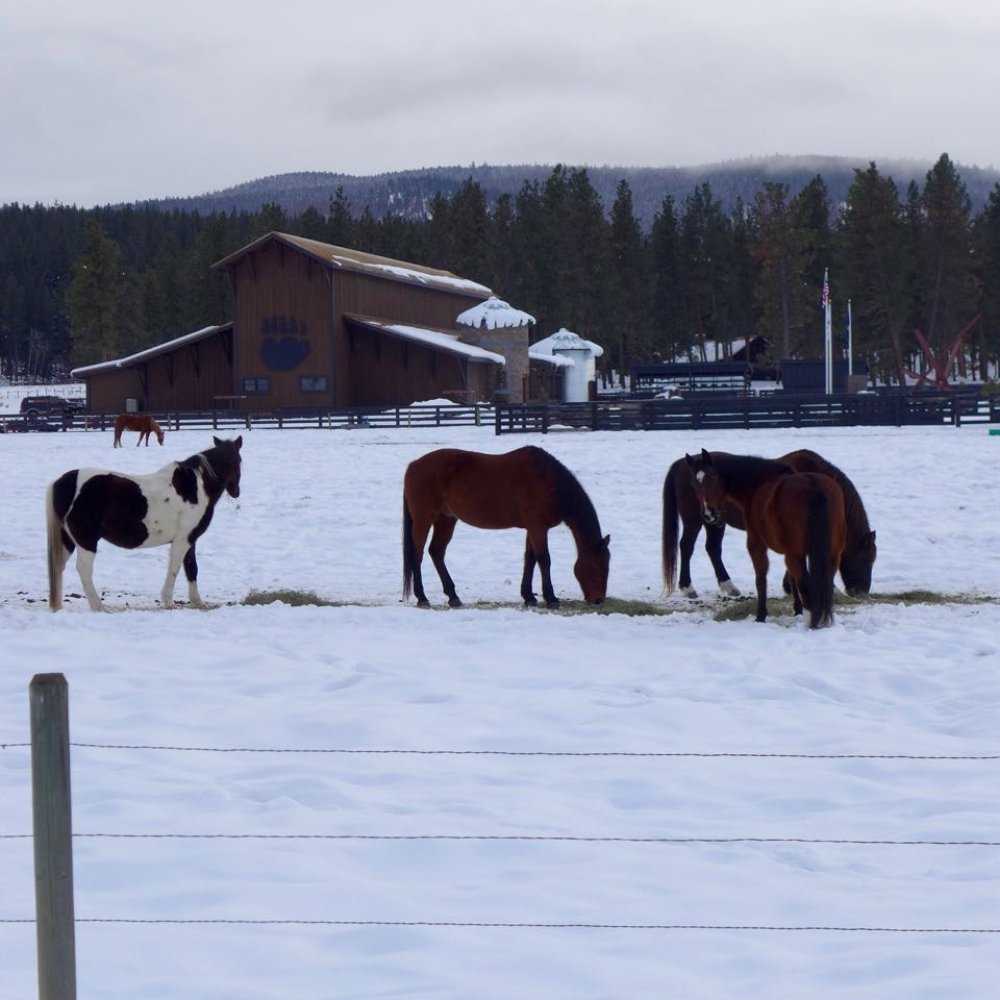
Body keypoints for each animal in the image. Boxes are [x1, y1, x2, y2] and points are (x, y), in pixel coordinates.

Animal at [46, 436, 243, 612]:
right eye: (239, 460)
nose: (236, 492)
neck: (194, 488)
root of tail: (64, 482)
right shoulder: (182, 540)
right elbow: (175, 568)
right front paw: (168, 602)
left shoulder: (190, 540)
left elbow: (192, 569)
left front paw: (197, 602)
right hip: (87, 541)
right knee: (84, 569)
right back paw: (99, 606)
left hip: (68, 541)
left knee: (58, 567)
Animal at [402, 445, 610, 608]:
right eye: (598, 566)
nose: (598, 599)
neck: (549, 482)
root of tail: (413, 465)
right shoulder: (538, 527)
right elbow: (544, 559)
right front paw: (551, 598)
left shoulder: (532, 528)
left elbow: (530, 559)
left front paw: (528, 596)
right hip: (424, 519)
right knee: (417, 555)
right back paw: (422, 597)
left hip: (446, 519)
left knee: (436, 551)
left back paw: (453, 596)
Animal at [663, 447, 876, 598]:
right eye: (866, 558)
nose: (861, 591)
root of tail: (680, 465)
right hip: (695, 519)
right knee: (687, 547)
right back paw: (688, 588)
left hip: (714, 521)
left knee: (713, 549)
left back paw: (729, 586)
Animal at [684, 448, 846, 628]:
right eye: (693, 483)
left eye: (712, 477)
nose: (708, 513)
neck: (759, 484)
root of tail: (814, 487)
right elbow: (791, 580)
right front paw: (797, 610)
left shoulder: (756, 545)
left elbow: (761, 580)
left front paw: (761, 616)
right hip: (831, 555)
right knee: (825, 581)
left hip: (795, 555)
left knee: (804, 581)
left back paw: (812, 622)